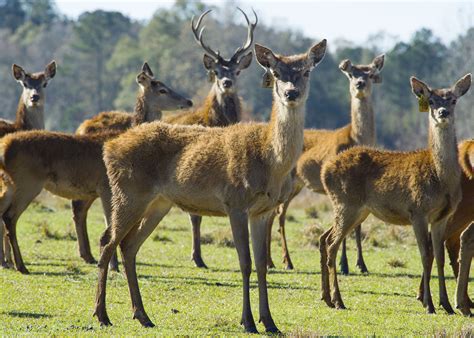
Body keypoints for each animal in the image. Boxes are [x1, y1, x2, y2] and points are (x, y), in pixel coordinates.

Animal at [94, 38, 328, 332]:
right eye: (276, 73)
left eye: (306, 71)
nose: (291, 93)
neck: (271, 162)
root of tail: (108, 147)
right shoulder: (235, 202)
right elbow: (245, 262)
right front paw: (248, 321)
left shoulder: (263, 210)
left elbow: (262, 264)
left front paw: (270, 322)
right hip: (128, 193)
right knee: (107, 242)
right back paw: (102, 315)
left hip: (158, 203)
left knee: (128, 245)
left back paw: (143, 316)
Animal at [266, 55, 386, 272]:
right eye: (351, 74)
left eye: (371, 74)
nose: (360, 83)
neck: (355, 138)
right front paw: (344, 265)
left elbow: (358, 226)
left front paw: (361, 264)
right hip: (287, 182)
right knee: (277, 214)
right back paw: (285, 262)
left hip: (296, 185)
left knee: (274, 214)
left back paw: (275, 261)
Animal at [318, 73, 470, 314]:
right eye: (431, 101)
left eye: (453, 100)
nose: (442, 113)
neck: (440, 179)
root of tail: (325, 171)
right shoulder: (417, 210)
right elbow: (425, 255)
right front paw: (429, 305)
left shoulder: (442, 216)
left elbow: (439, 256)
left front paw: (446, 305)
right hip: (346, 203)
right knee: (332, 245)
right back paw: (338, 301)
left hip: (356, 210)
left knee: (325, 238)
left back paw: (326, 298)